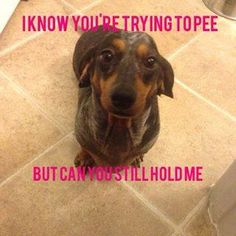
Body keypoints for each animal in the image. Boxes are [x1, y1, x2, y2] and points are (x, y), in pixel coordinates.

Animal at [73, 26, 174, 169]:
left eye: (151, 61)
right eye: (107, 55)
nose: (123, 98)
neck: (119, 125)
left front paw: (136, 158)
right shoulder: (81, 136)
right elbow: (85, 147)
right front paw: (85, 157)